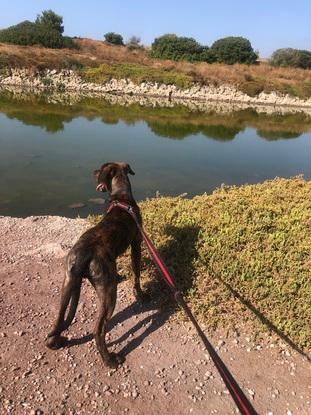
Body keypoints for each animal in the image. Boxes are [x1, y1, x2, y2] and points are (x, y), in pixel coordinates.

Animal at [46, 162, 149, 368]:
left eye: (99, 169)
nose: (92, 171)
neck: (121, 196)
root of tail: (83, 254)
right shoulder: (136, 244)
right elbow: (136, 273)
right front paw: (140, 294)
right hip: (108, 293)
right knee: (98, 330)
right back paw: (110, 359)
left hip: (67, 283)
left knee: (59, 320)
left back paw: (56, 341)